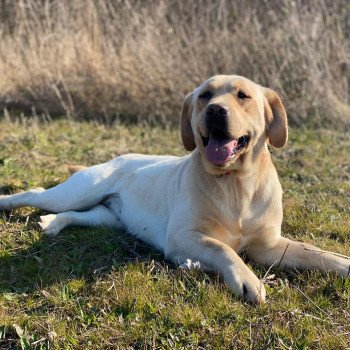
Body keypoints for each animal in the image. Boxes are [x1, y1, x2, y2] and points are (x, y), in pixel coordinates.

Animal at [1, 74, 348, 304]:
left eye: (243, 96)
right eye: (205, 95)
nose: (215, 110)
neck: (236, 183)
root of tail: (118, 157)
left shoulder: (270, 245)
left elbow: (317, 253)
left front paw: (343, 263)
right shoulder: (183, 236)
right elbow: (221, 248)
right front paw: (247, 280)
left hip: (107, 218)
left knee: (77, 215)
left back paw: (52, 223)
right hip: (76, 191)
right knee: (34, 193)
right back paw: (9, 202)